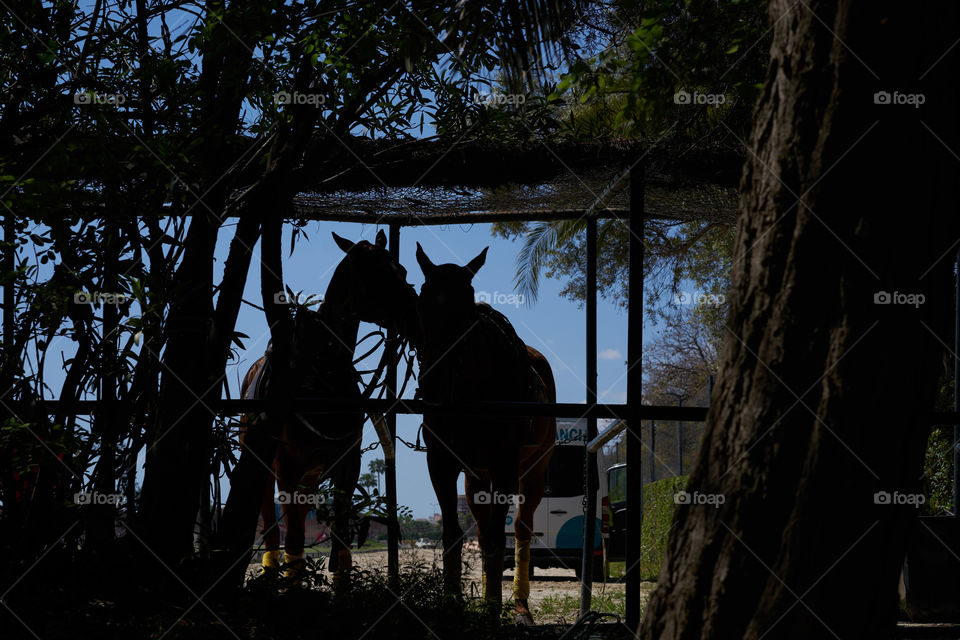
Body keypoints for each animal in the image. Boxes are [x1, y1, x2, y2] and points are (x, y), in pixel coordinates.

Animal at [237, 230, 416, 580]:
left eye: (401, 270)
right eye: (376, 273)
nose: (417, 314)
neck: (321, 376)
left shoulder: (347, 466)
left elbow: (341, 546)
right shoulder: (287, 469)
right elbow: (293, 542)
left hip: (311, 475)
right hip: (263, 465)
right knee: (272, 530)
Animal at [412, 242, 556, 616]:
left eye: (466, 310)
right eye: (422, 299)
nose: (432, 382)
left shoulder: (506, 466)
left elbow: (495, 538)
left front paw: (492, 609)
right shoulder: (441, 463)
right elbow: (452, 535)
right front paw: (452, 602)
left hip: (534, 470)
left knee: (520, 527)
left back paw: (519, 603)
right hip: (477, 476)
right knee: (481, 524)